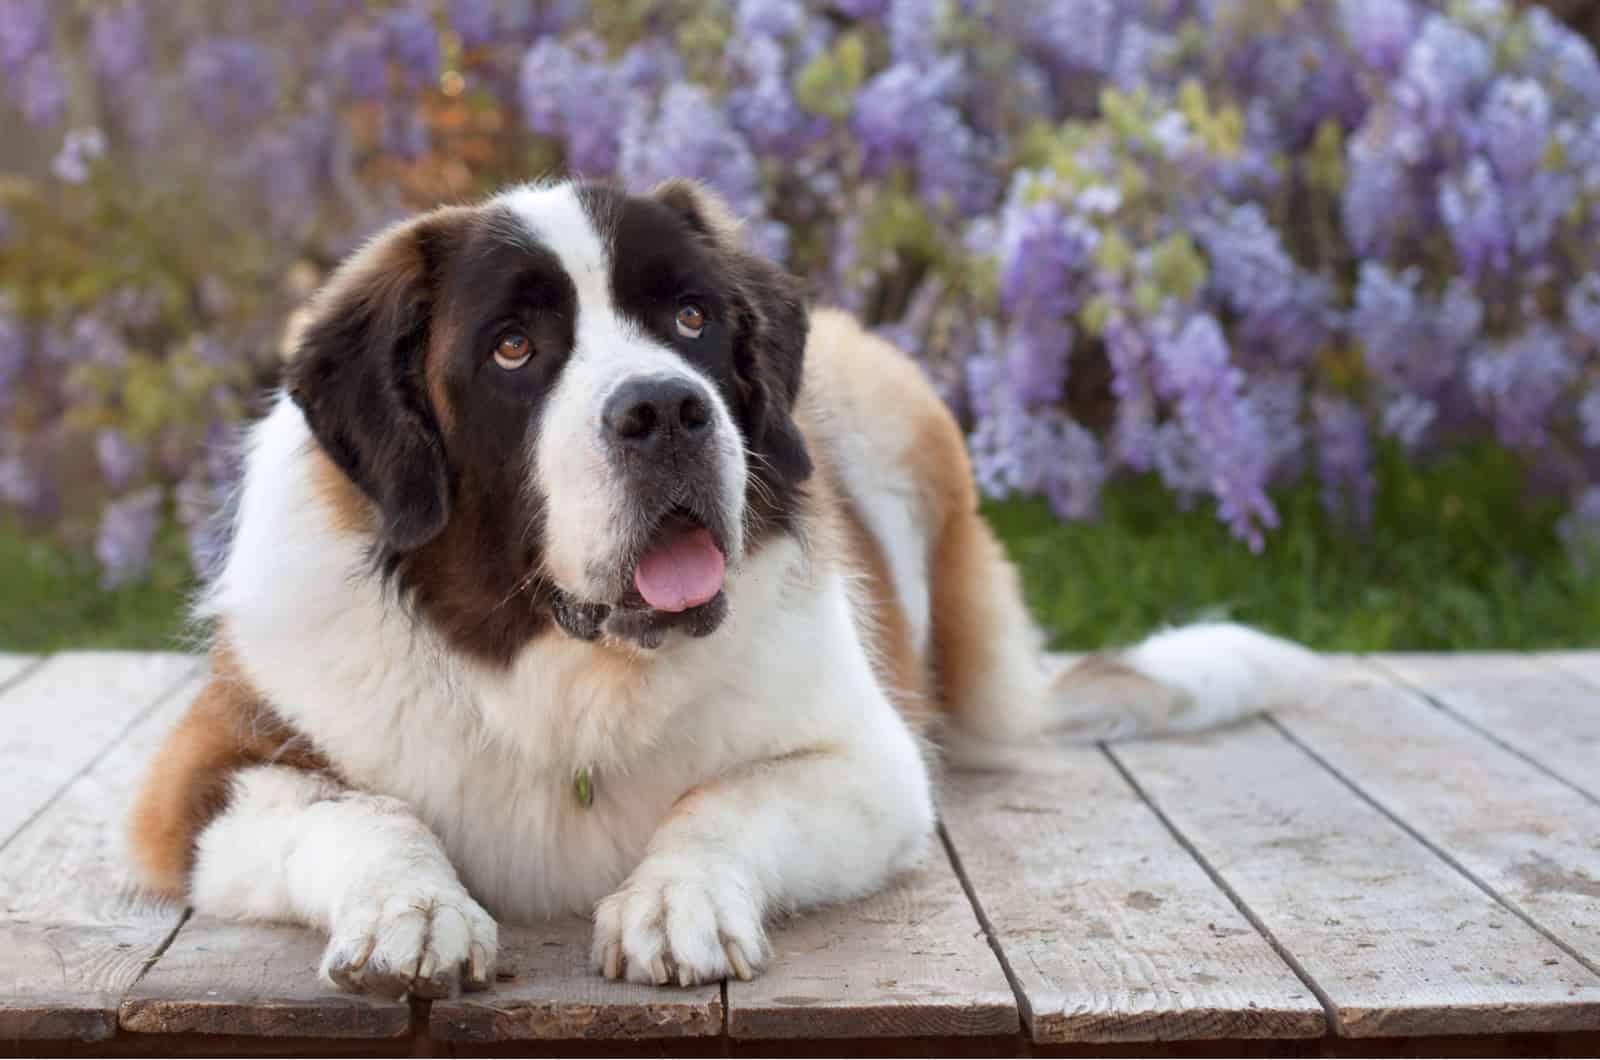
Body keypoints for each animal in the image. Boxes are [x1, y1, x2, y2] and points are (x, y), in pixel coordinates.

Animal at [128, 178, 1324, 999]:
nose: (664, 409)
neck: (566, 668)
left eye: (693, 320)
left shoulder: (874, 763)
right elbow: (360, 809)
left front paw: (677, 899)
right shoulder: (199, 776)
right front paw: (412, 910)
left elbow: (726, 798)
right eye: (513, 348)